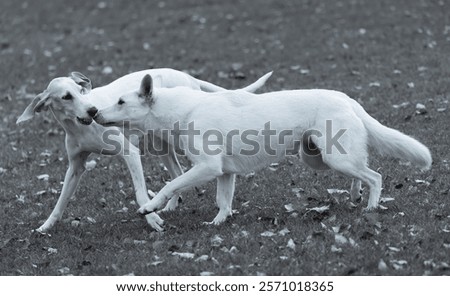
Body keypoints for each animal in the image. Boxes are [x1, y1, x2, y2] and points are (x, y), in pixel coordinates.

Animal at [16, 67, 270, 231]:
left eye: (81, 91)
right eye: (66, 97)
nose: (92, 110)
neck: (80, 128)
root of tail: (186, 75)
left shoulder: (130, 153)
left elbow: (139, 193)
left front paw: (151, 218)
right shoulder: (76, 167)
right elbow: (61, 200)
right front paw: (46, 226)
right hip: (162, 144)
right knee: (177, 174)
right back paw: (171, 205)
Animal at [92, 74, 432, 224]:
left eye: (121, 102)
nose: (94, 112)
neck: (183, 111)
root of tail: (345, 97)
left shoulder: (207, 168)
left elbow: (170, 184)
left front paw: (149, 207)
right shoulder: (223, 173)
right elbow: (223, 201)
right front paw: (218, 224)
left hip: (335, 158)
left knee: (375, 176)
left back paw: (371, 206)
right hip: (320, 158)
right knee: (363, 171)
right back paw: (356, 195)